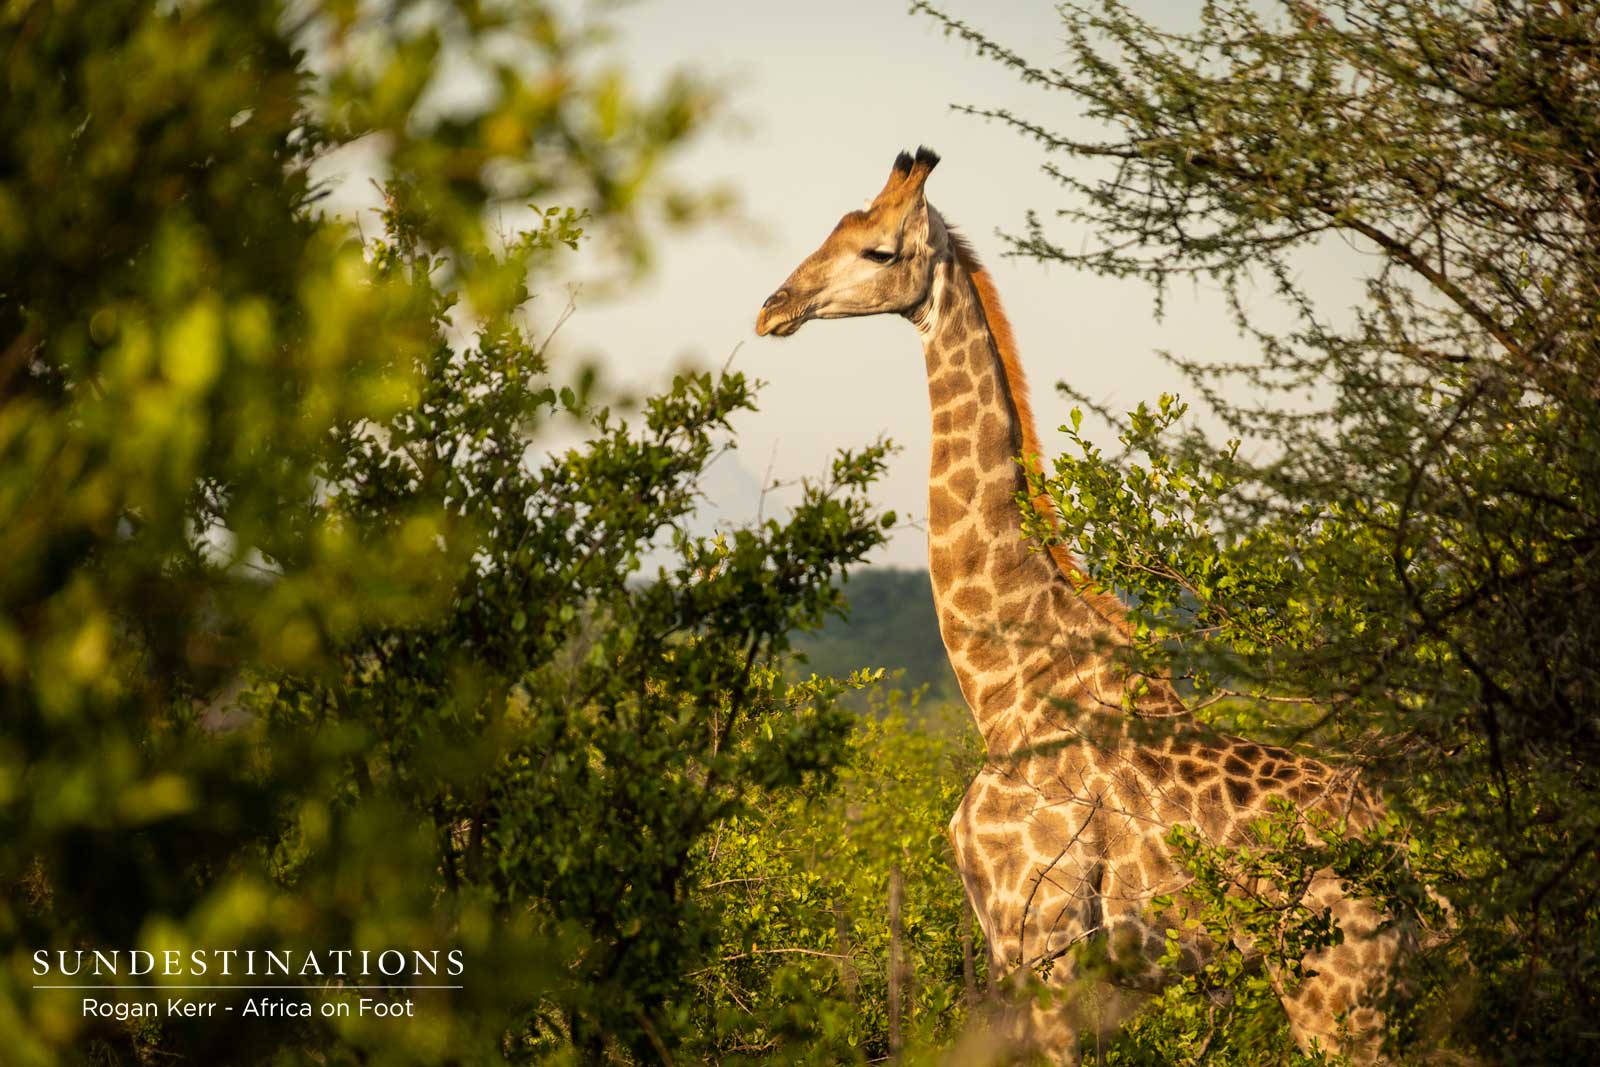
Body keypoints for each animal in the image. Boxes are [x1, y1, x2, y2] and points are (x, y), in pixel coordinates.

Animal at [755, 148, 1403, 1064]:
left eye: (879, 249)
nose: (773, 308)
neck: (1004, 689)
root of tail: (1408, 854)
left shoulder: (1048, 943)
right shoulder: (1012, 946)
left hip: (1334, 992)